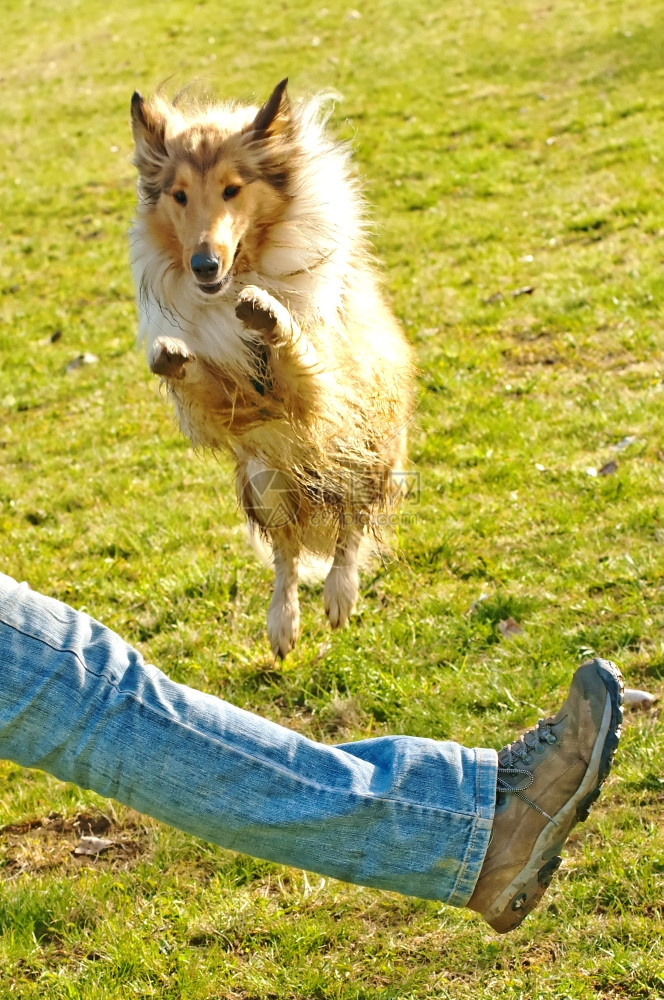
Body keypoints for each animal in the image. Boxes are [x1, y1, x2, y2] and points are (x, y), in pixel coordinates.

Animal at [130, 78, 412, 656]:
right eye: (179, 195)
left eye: (232, 189)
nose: (203, 265)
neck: (241, 275)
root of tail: (316, 497)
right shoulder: (238, 406)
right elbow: (199, 375)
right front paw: (172, 355)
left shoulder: (322, 391)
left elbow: (299, 350)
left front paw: (270, 314)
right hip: (266, 480)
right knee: (287, 553)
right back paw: (283, 621)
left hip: (368, 456)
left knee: (352, 526)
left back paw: (340, 594)